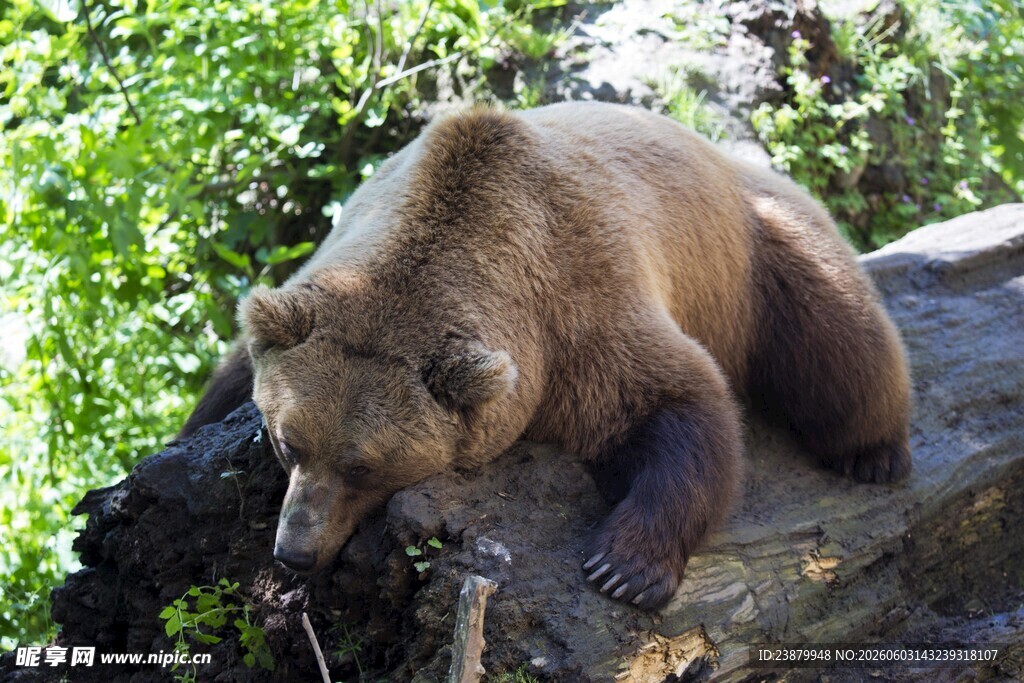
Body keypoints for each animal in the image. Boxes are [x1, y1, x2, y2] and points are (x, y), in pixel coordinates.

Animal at [180, 102, 912, 611]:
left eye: (364, 466)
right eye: (287, 443)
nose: (295, 552)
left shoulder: (578, 311)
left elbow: (680, 400)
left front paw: (624, 568)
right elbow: (228, 379)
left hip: (759, 252)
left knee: (840, 342)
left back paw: (874, 454)